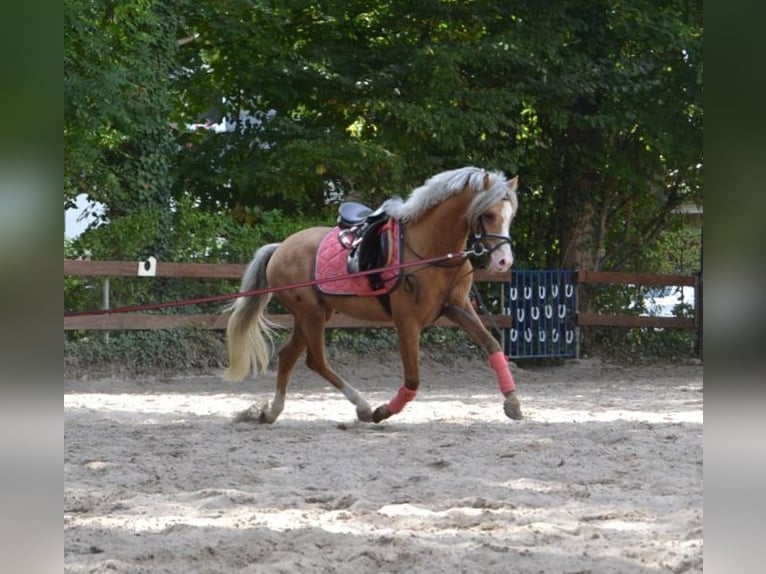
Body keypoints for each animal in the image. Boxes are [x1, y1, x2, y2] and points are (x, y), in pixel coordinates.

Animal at [222, 166, 520, 424]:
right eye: (489, 214)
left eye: (511, 215)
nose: (504, 261)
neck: (432, 250)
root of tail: (280, 247)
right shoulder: (407, 322)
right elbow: (412, 380)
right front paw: (382, 411)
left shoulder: (457, 308)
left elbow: (493, 345)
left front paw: (513, 402)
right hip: (311, 314)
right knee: (316, 360)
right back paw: (363, 406)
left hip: (313, 314)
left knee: (288, 356)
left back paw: (271, 412)